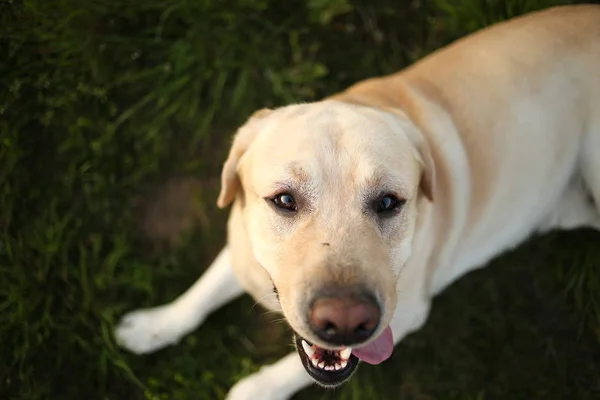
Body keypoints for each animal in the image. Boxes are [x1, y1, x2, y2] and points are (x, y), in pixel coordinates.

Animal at [113, 4, 600, 398]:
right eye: (284, 199)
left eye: (388, 202)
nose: (346, 322)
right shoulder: (241, 244)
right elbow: (200, 294)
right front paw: (154, 325)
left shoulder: (406, 314)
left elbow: (287, 370)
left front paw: (255, 389)